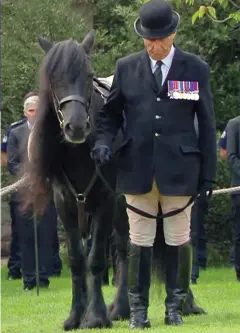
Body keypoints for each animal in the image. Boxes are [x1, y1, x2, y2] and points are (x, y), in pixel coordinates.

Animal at [23, 31, 130, 330]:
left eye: (88, 74)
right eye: (52, 77)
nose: (77, 126)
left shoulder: (106, 199)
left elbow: (95, 259)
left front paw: (96, 316)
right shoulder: (66, 203)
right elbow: (76, 257)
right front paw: (76, 314)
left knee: (126, 247)